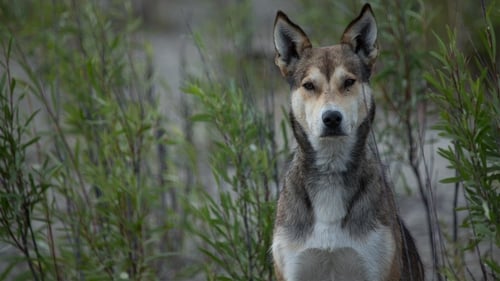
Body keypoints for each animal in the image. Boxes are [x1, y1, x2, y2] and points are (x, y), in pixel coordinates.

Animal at [272, 4, 424, 280]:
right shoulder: (293, 268)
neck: (331, 171)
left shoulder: (378, 268)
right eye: (309, 85)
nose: (332, 118)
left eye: (349, 82)